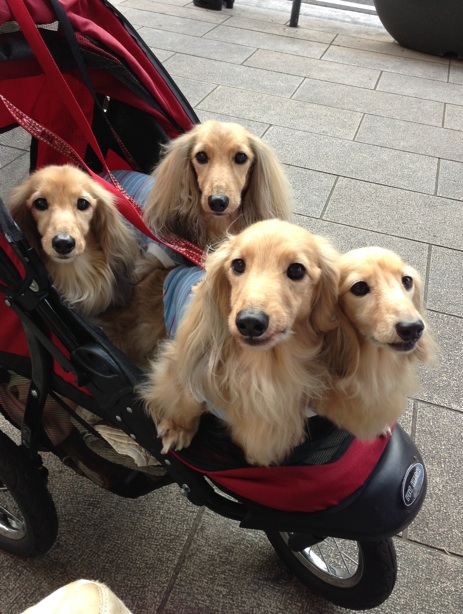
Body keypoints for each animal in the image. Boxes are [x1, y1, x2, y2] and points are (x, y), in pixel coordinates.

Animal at [140, 219, 340, 466]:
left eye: (297, 269)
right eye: (238, 264)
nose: (250, 322)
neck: (263, 365)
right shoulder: (185, 374)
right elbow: (186, 404)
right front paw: (177, 429)